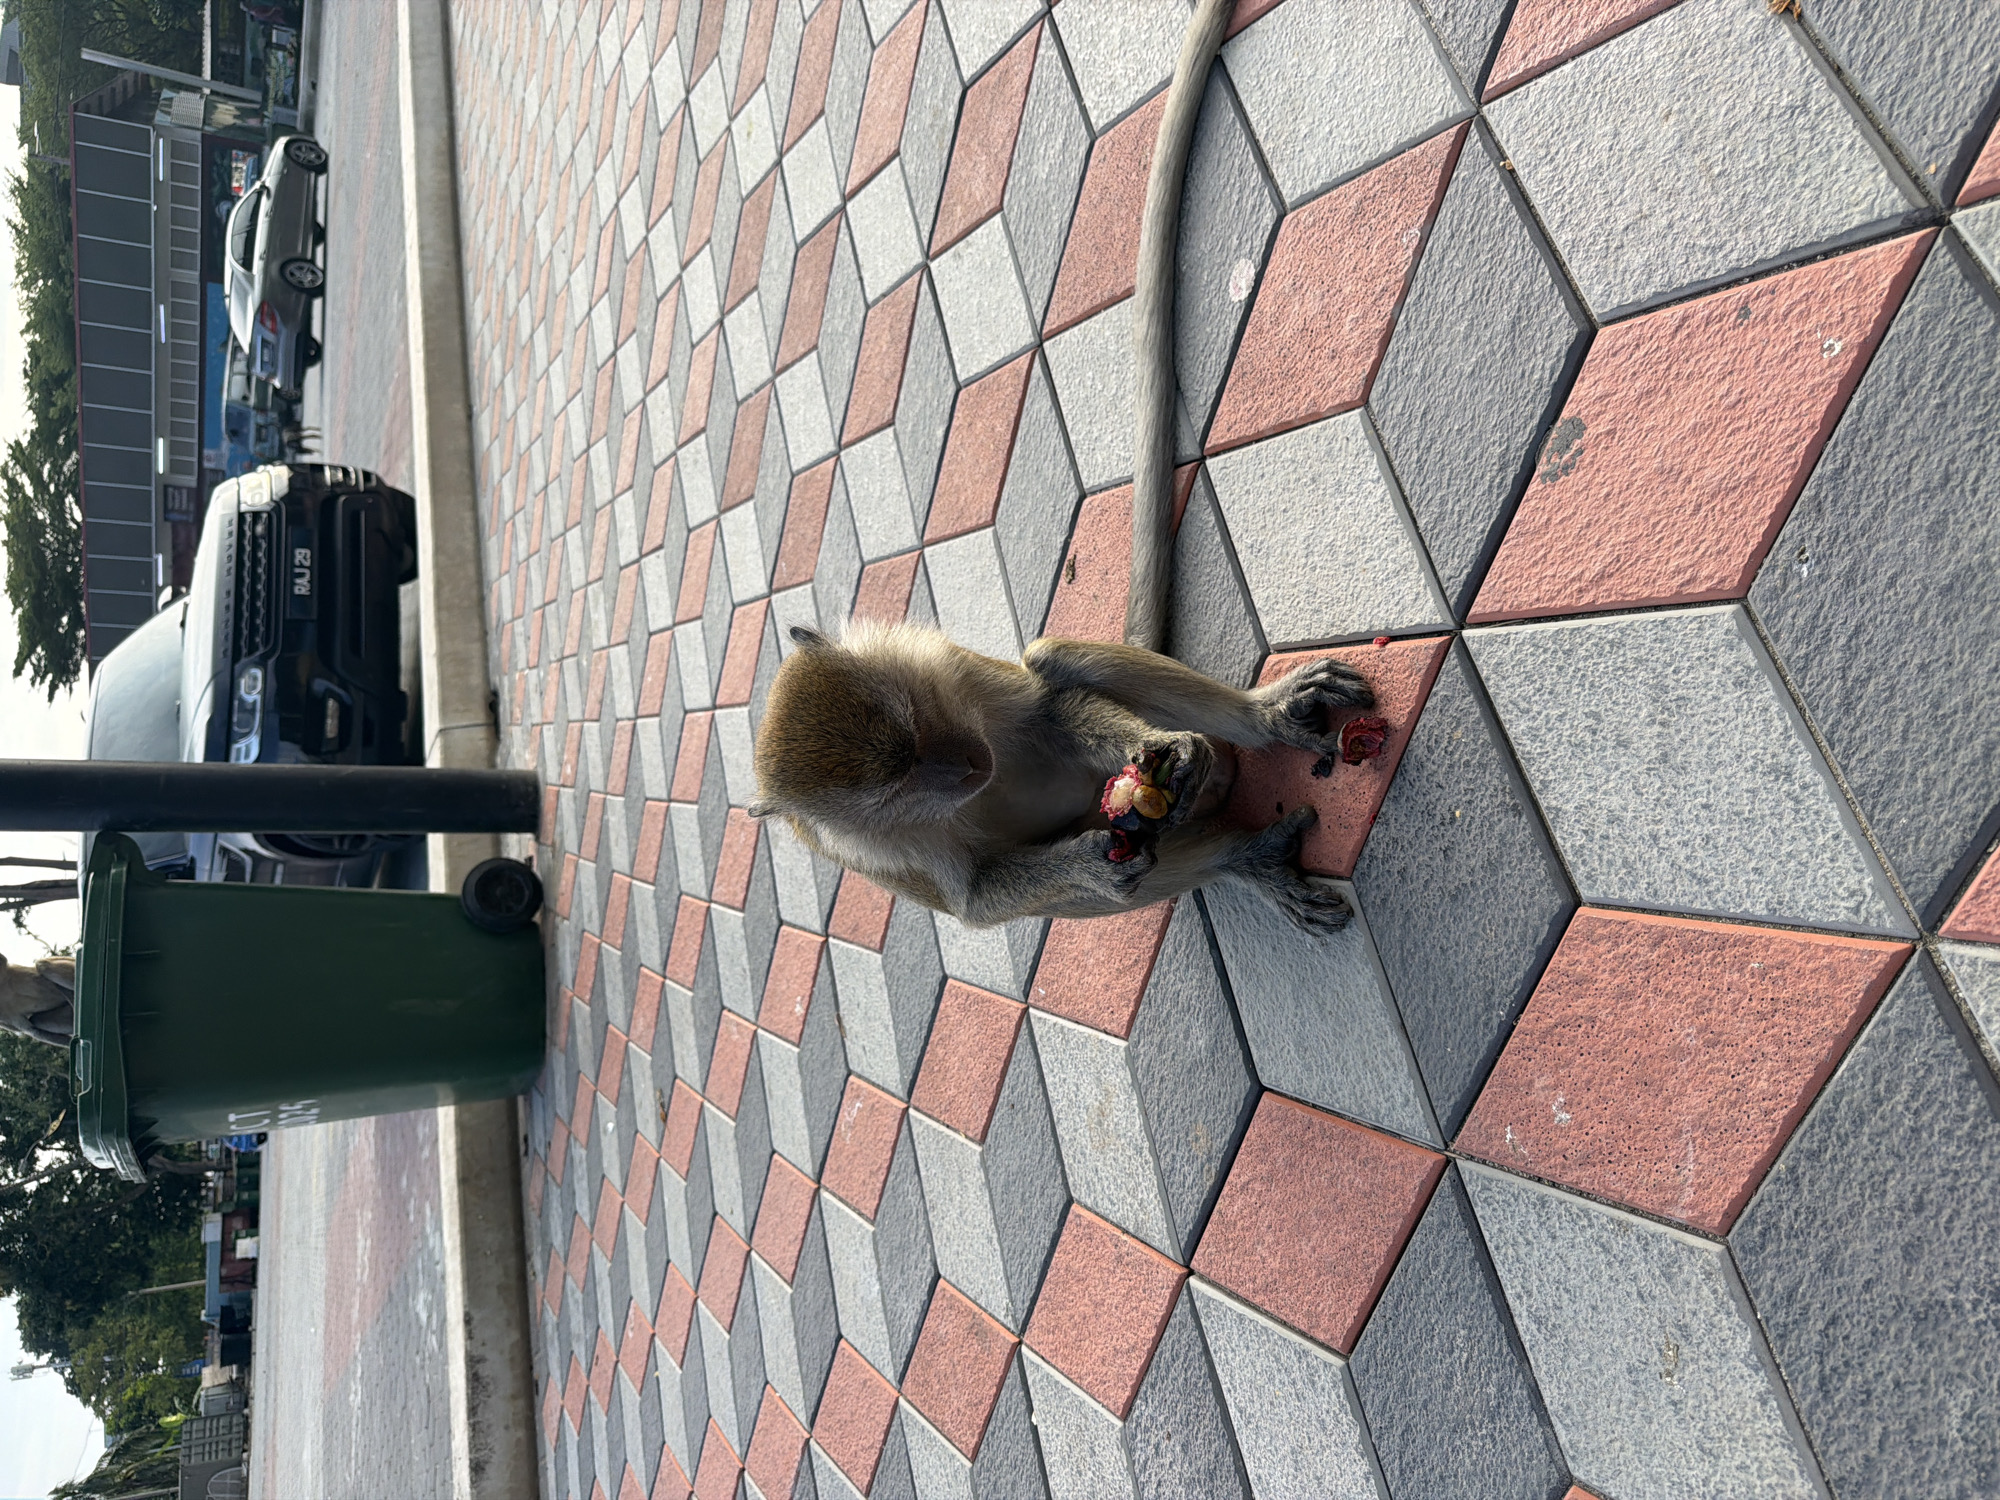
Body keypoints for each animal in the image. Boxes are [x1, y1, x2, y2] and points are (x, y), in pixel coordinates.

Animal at [750, 622, 1373, 930]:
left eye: (921, 718)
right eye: (897, 790)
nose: (968, 766)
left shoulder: (952, 670)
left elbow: (1048, 705)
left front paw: (1160, 751)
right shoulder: (876, 856)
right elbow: (976, 898)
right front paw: (1088, 864)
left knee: (1050, 656)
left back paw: (1264, 717)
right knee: (1115, 881)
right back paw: (1244, 858)